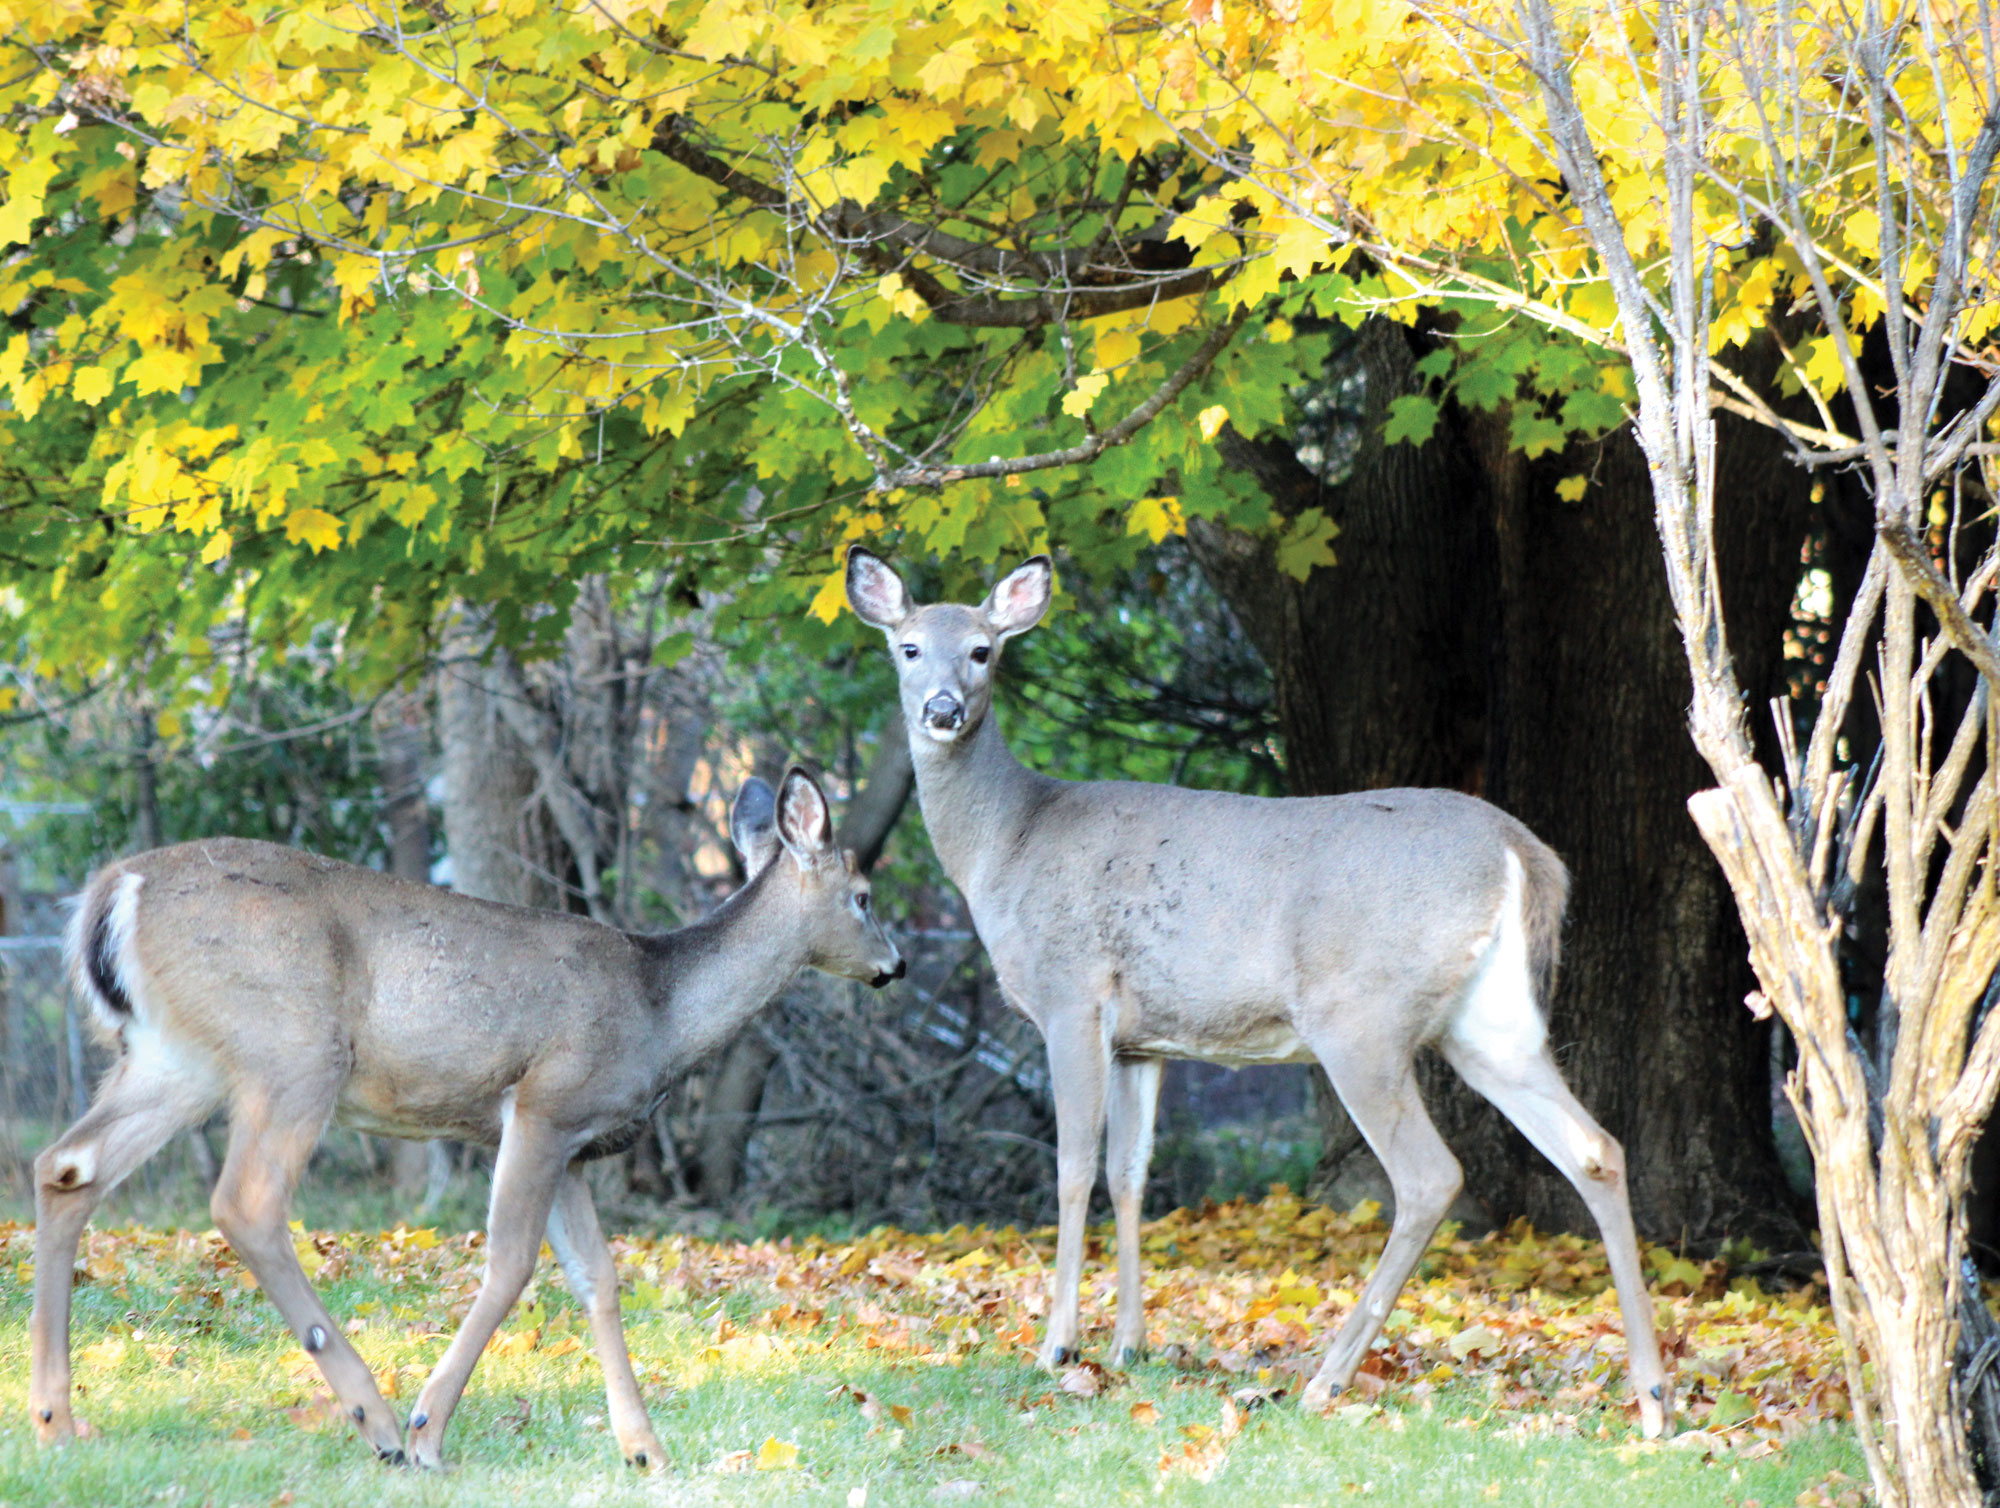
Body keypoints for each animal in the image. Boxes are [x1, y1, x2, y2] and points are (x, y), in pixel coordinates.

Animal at [28, 766, 904, 1471]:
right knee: (245, 1203)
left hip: (175, 1058)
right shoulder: (544, 1102)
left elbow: (599, 1278)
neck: (661, 1006)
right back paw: (378, 1421)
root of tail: (115, 892)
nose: (894, 965)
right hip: (292, 1051)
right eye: (863, 897)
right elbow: (511, 1263)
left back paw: (57, 1421)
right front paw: (429, 1430)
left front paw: (645, 1450)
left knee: (66, 1167)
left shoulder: (576, 1145)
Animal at [845, 546, 1672, 1438]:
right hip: (1489, 1023)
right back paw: (1654, 1399)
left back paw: (1325, 1381)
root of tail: (1525, 854)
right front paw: (1131, 1344)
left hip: (1361, 1017)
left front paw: (1057, 1345)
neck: (1007, 843)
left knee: (1430, 1176)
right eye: (908, 648)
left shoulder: (1070, 996)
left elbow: (1071, 1168)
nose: (942, 710)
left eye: (982, 650)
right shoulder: (1142, 1039)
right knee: (1595, 1149)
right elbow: (1129, 1174)